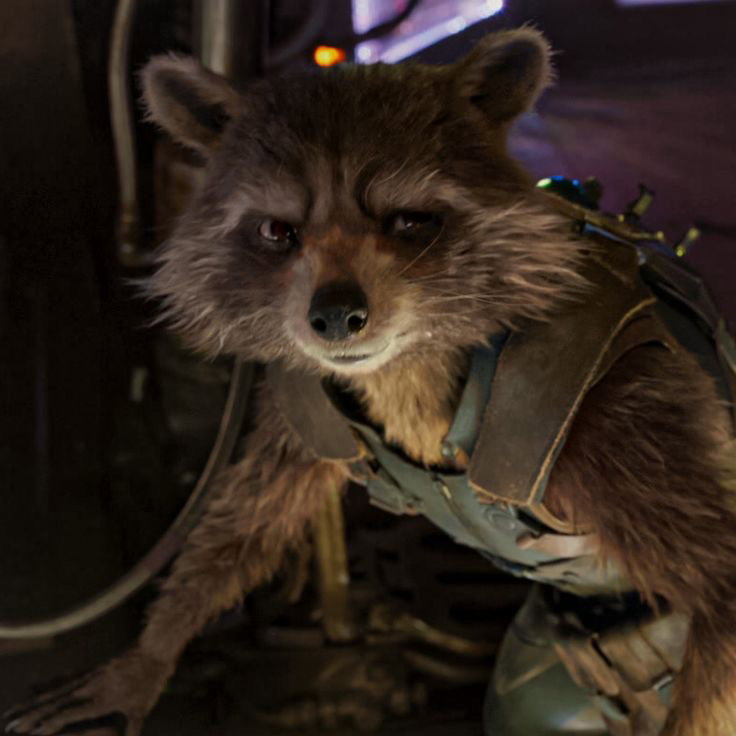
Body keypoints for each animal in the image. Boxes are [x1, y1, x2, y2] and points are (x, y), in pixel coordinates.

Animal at [6, 28, 736, 736]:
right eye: (279, 230)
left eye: (409, 220)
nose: (333, 315)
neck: (410, 358)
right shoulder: (303, 400)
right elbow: (247, 519)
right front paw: (151, 653)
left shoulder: (615, 399)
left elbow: (724, 585)